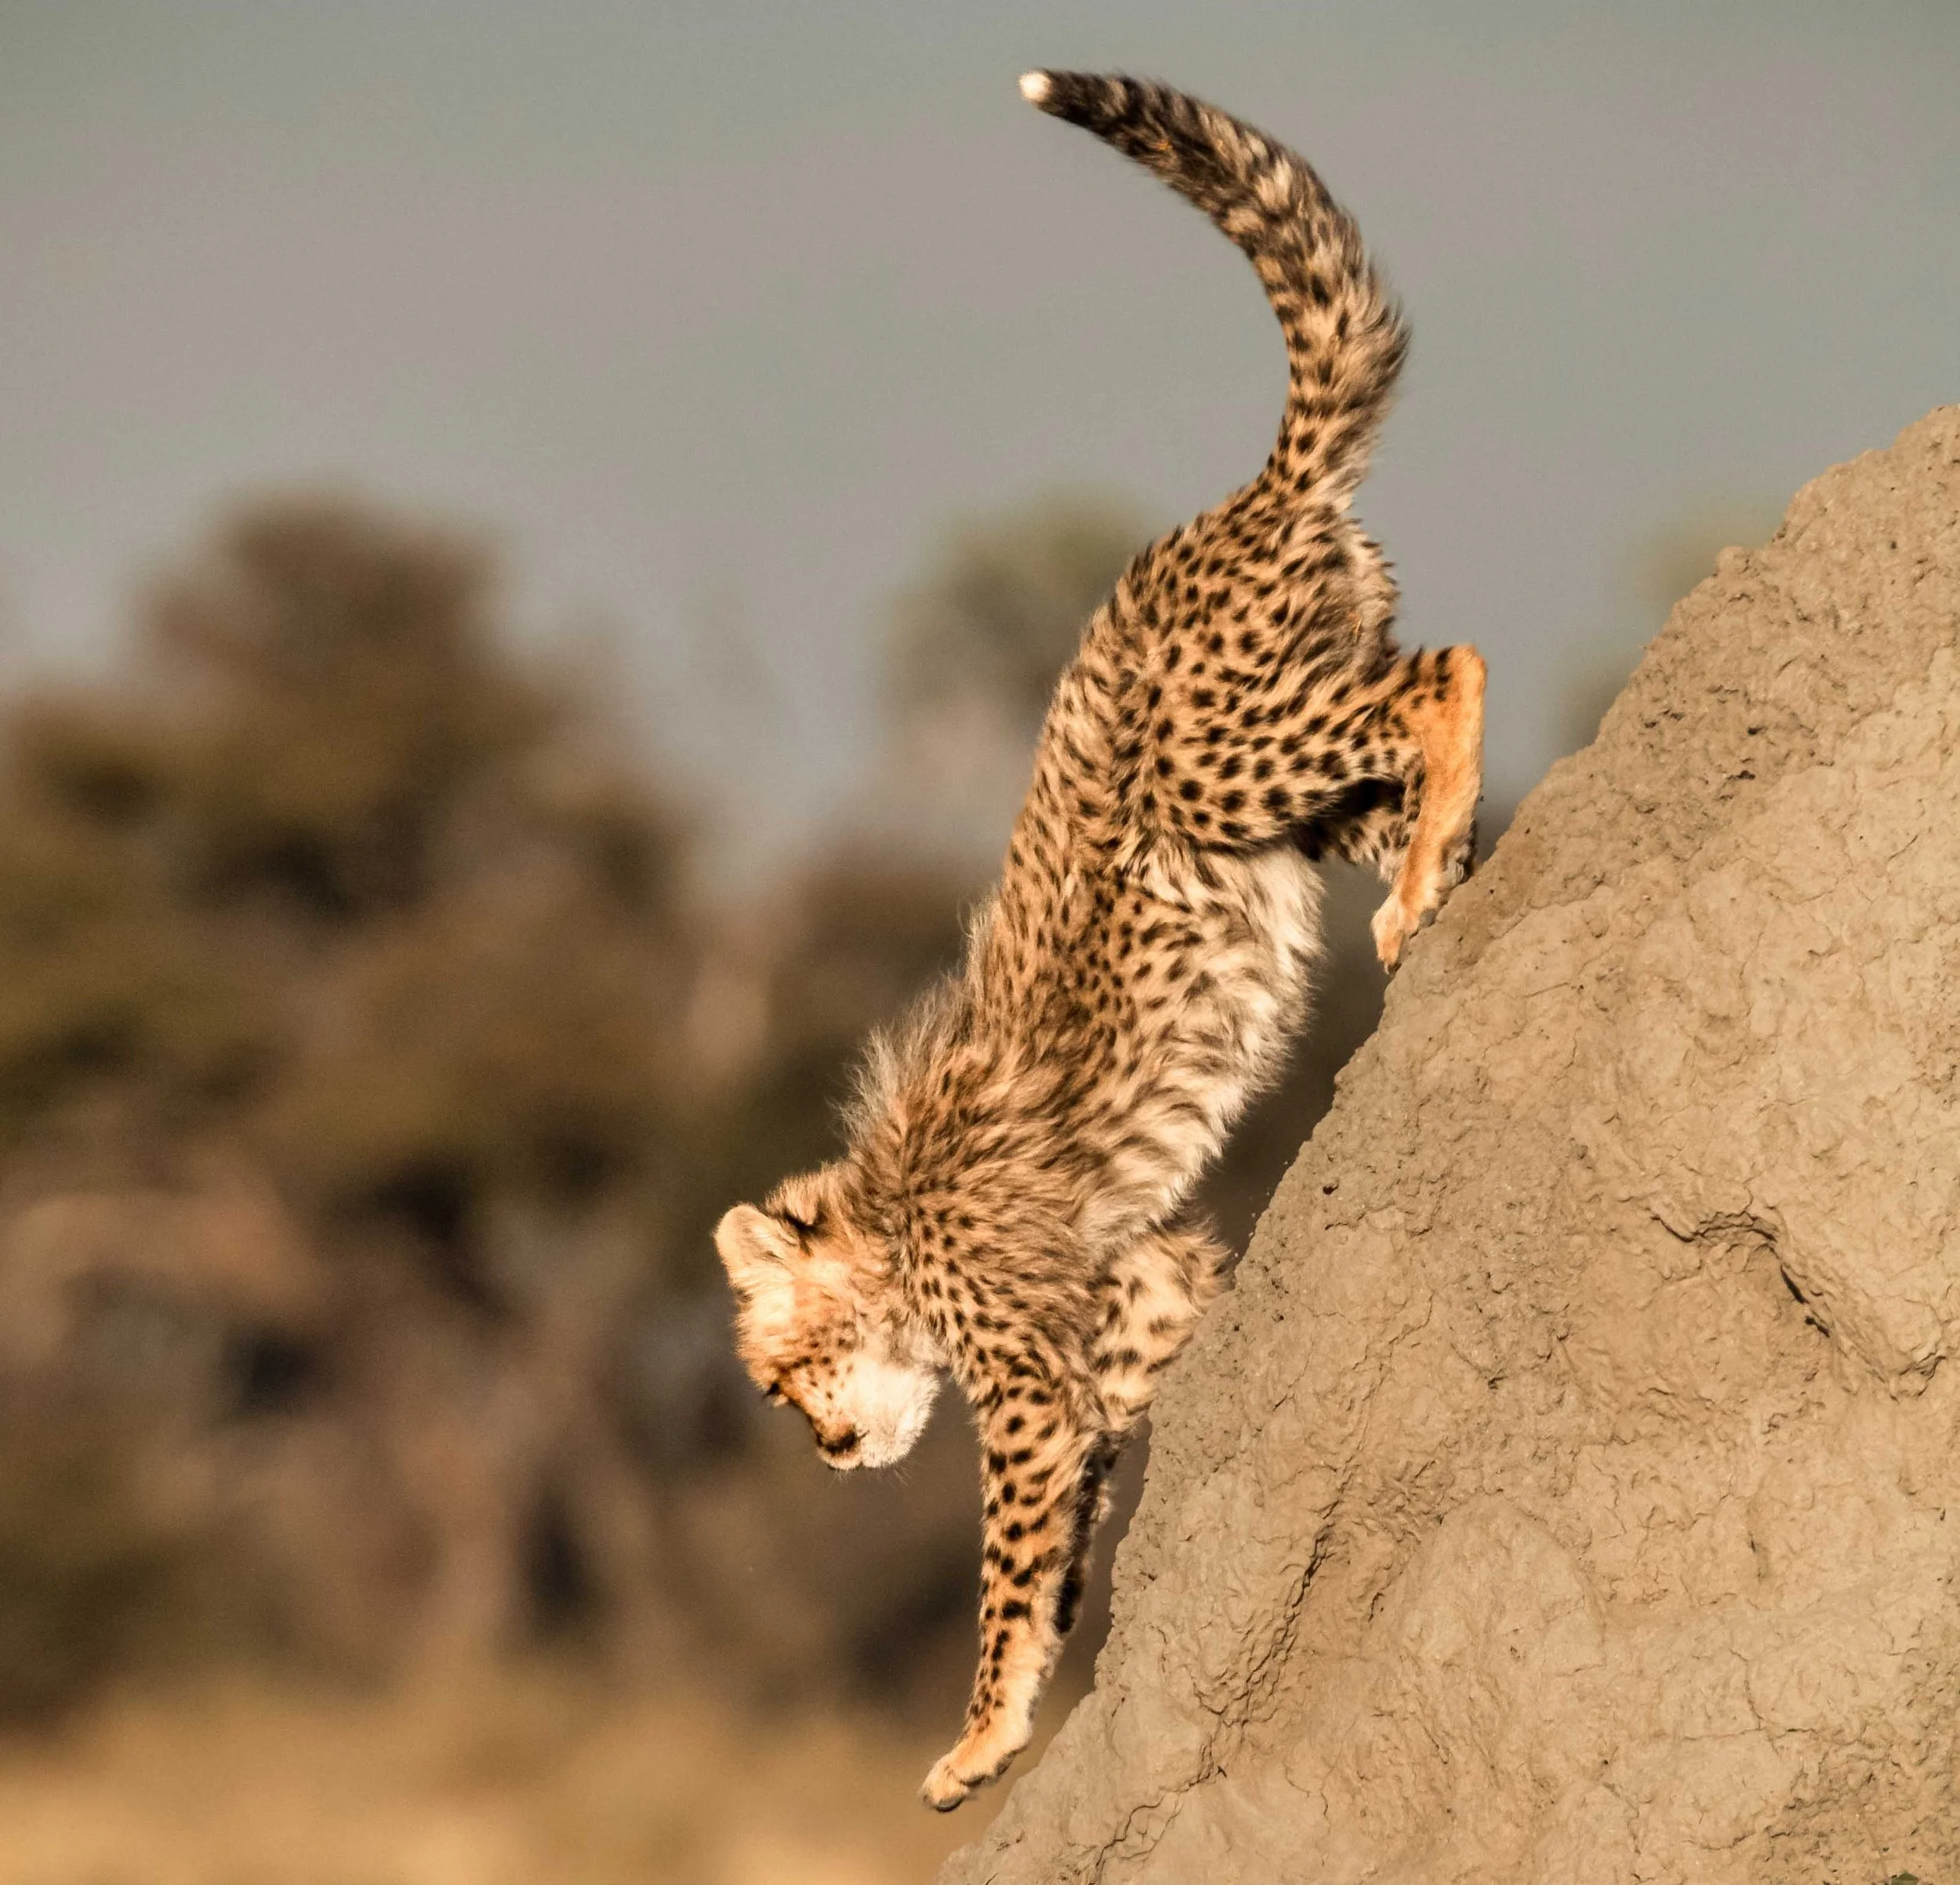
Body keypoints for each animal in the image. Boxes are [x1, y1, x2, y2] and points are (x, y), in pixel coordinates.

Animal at [715, 69, 1485, 1811]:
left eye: (780, 1377)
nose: (826, 1448)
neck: (888, 1215)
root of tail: (1238, 499)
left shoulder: (1021, 1377)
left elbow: (1008, 1566)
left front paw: (979, 1731)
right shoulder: (1134, 1281)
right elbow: (1101, 1466)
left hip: (1218, 755)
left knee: (1447, 673)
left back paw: (1430, 874)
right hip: (1275, 801)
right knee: (1403, 716)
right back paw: (1441, 860)